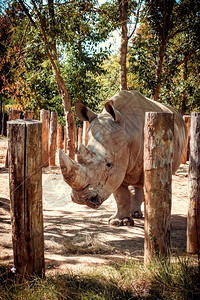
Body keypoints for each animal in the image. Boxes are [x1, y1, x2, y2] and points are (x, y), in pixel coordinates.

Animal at [58, 90, 187, 226]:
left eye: (108, 164)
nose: (80, 199)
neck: (129, 132)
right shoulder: (118, 168)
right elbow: (121, 195)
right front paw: (118, 221)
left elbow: (152, 190)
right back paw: (135, 214)